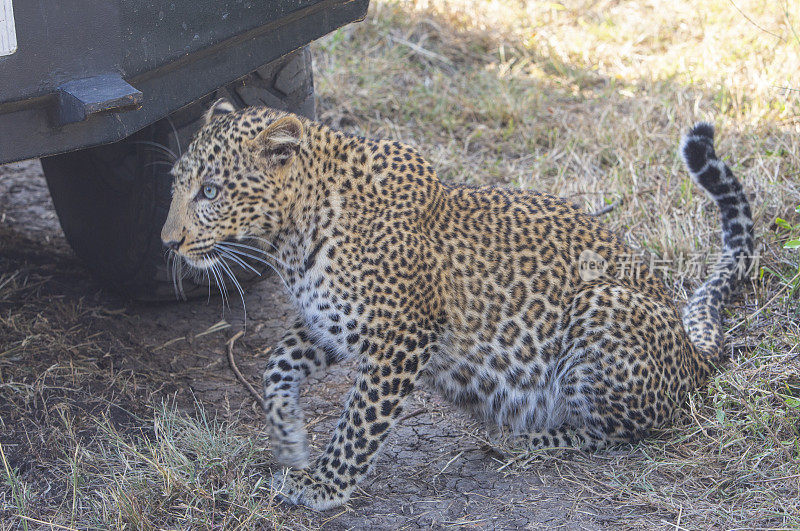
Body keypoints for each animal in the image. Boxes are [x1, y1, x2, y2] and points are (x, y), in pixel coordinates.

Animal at [162, 100, 756, 512]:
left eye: (210, 191)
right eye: (176, 186)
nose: (168, 242)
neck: (290, 239)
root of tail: (692, 352)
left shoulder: (401, 336)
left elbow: (359, 422)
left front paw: (324, 485)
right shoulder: (331, 324)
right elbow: (276, 365)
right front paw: (288, 440)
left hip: (601, 303)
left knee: (618, 431)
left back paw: (521, 438)